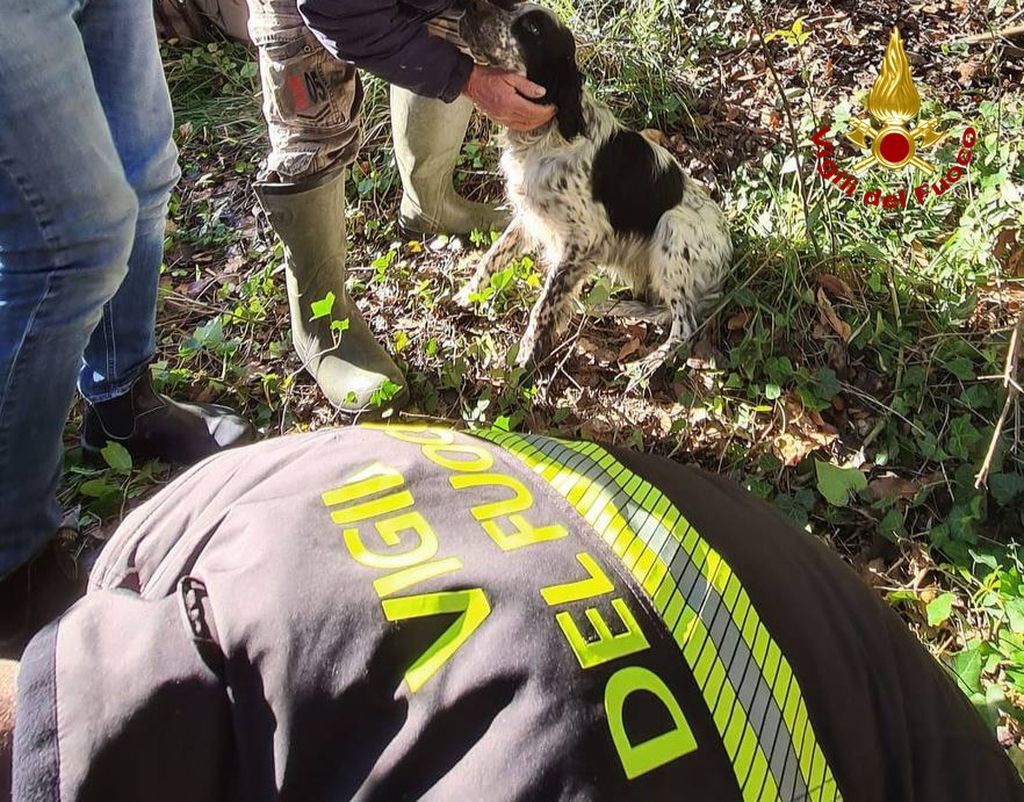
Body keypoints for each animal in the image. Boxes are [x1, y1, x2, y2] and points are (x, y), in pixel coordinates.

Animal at [452, 0, 733, 372]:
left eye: (534, 29)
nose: (469, 7)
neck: (550, 134)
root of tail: (728, 260)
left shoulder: (583, 241)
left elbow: (544, 304)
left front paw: (527, 356)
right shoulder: (529, 215)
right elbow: (493, 256)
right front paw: (467, 296)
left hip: (671, 230)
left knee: (684, 325)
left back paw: (645, 367)